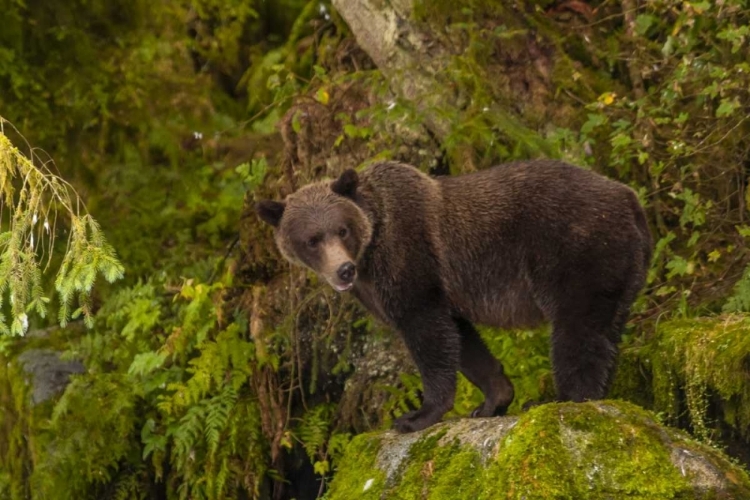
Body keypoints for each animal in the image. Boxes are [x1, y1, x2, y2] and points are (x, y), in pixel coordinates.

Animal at [258, 161, 652, 434]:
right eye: (312, 239)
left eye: (341, 229)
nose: (343, 271)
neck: (370, 249)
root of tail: (630, 197)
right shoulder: (419, 289)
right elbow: (464, 341)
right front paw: (491, 400)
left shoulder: (410, 259)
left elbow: (427, 332)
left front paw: (416, 415)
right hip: (624, 268)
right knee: (606, 328)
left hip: (578, 248)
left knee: (578, 329)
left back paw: (563, 397)